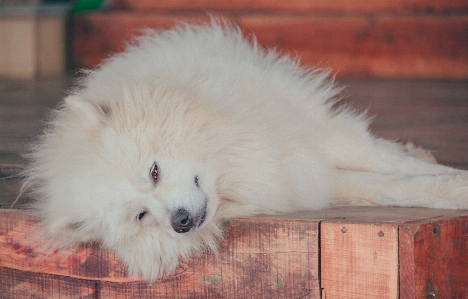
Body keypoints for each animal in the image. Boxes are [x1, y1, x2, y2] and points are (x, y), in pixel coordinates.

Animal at [22, 21, 468, 282]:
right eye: (141, 216)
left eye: (153, 171)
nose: (181, 222)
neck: (232, 165)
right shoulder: (309, 178)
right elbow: (388, 185)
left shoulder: (318, 135)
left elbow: (393, 166)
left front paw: (453, 182)